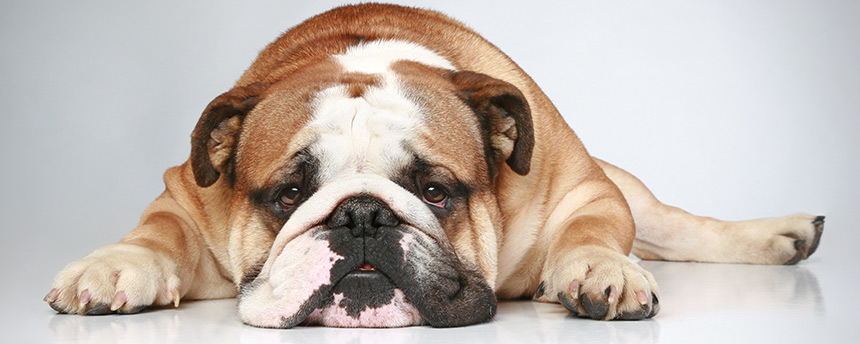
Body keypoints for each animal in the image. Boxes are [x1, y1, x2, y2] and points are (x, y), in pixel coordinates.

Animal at [43, 4, 824, 328]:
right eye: (289, 192)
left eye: (436, 191)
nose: (361, 216)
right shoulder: (186, 194)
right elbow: (157, 233)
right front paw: (112, 268)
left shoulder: (583, 190)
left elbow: (593, 230)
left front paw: (598, 270)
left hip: (630, 189)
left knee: (675, 225)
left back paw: (780, 234)